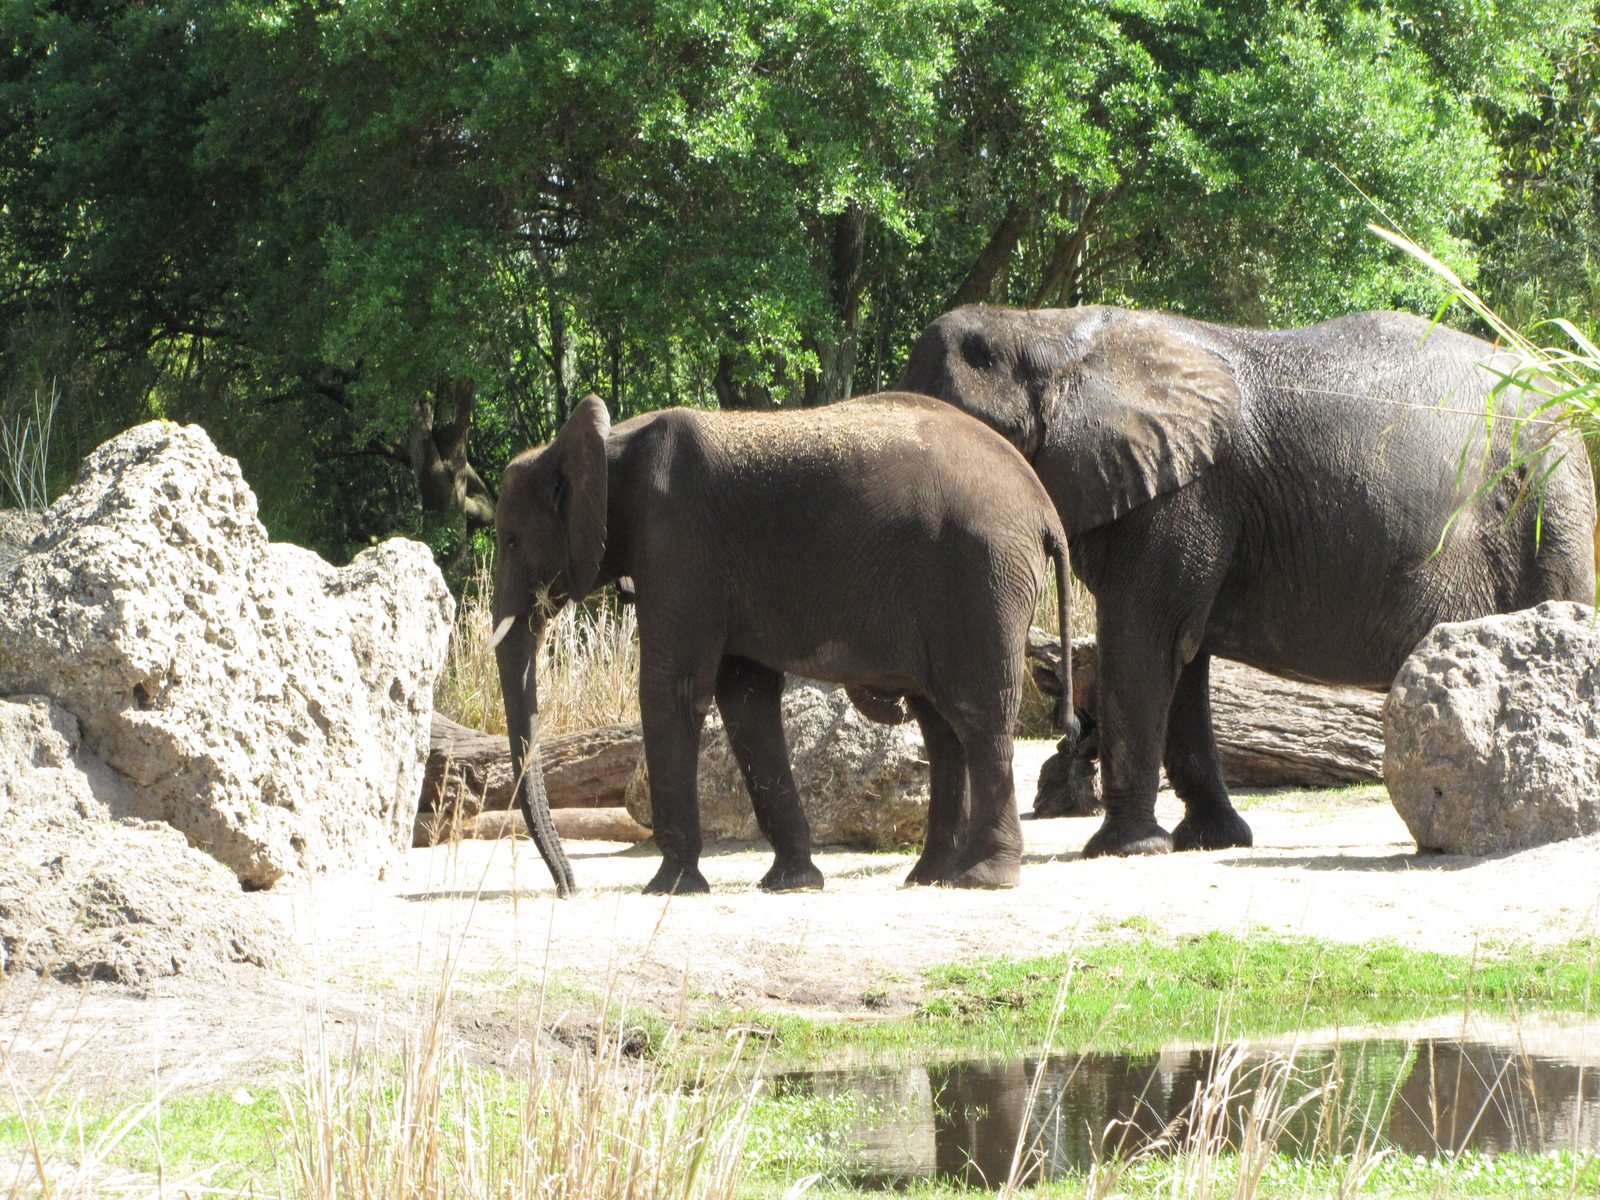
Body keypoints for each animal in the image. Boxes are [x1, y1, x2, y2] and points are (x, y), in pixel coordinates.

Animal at [492, 391, 1076, 896]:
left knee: (979, 715)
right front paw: (790, 882)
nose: (568, 889)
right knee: (941, 726)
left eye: (511, 540)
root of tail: (1045, 508)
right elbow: (745, 699)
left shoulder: (679, 547)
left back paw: (982, 879)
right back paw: (928, 877)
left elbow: (671, 690)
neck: (607, 445)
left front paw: (670, 888)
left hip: (982, 577)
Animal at [898, 305, 1597, 858]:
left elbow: (1145, 646)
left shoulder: (1186, 498)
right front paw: (1211, 843)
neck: (1047, 331)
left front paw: (1123, 850)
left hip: (1551, 500)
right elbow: (1182, 660)